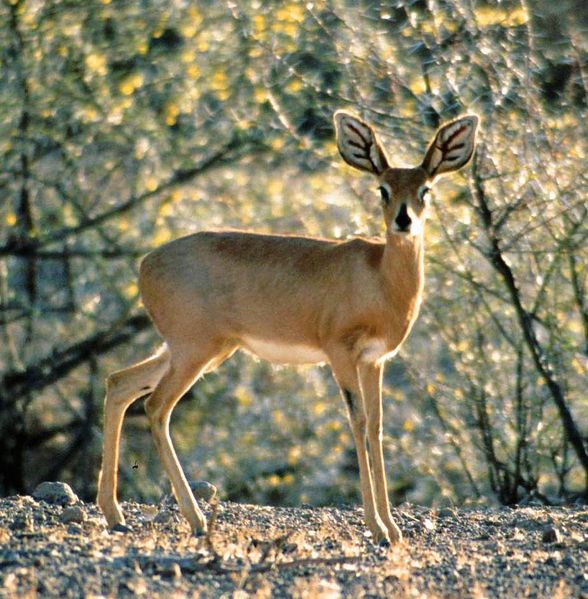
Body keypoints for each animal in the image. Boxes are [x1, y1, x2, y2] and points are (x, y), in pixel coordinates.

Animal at [97, 110, 478, 548]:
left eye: (425, 189)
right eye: (382, 189)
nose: (404, 220)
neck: (379, 277)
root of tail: (146, 263)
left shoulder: (374, 361)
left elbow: (378, 427)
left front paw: (393, 528)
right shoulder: (340, 354)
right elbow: (358, 422)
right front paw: (378, 527)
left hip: (194, 351)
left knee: (120, 384)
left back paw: (114, 513)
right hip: (195, 352)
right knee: (156, 407)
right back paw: (196, 521)